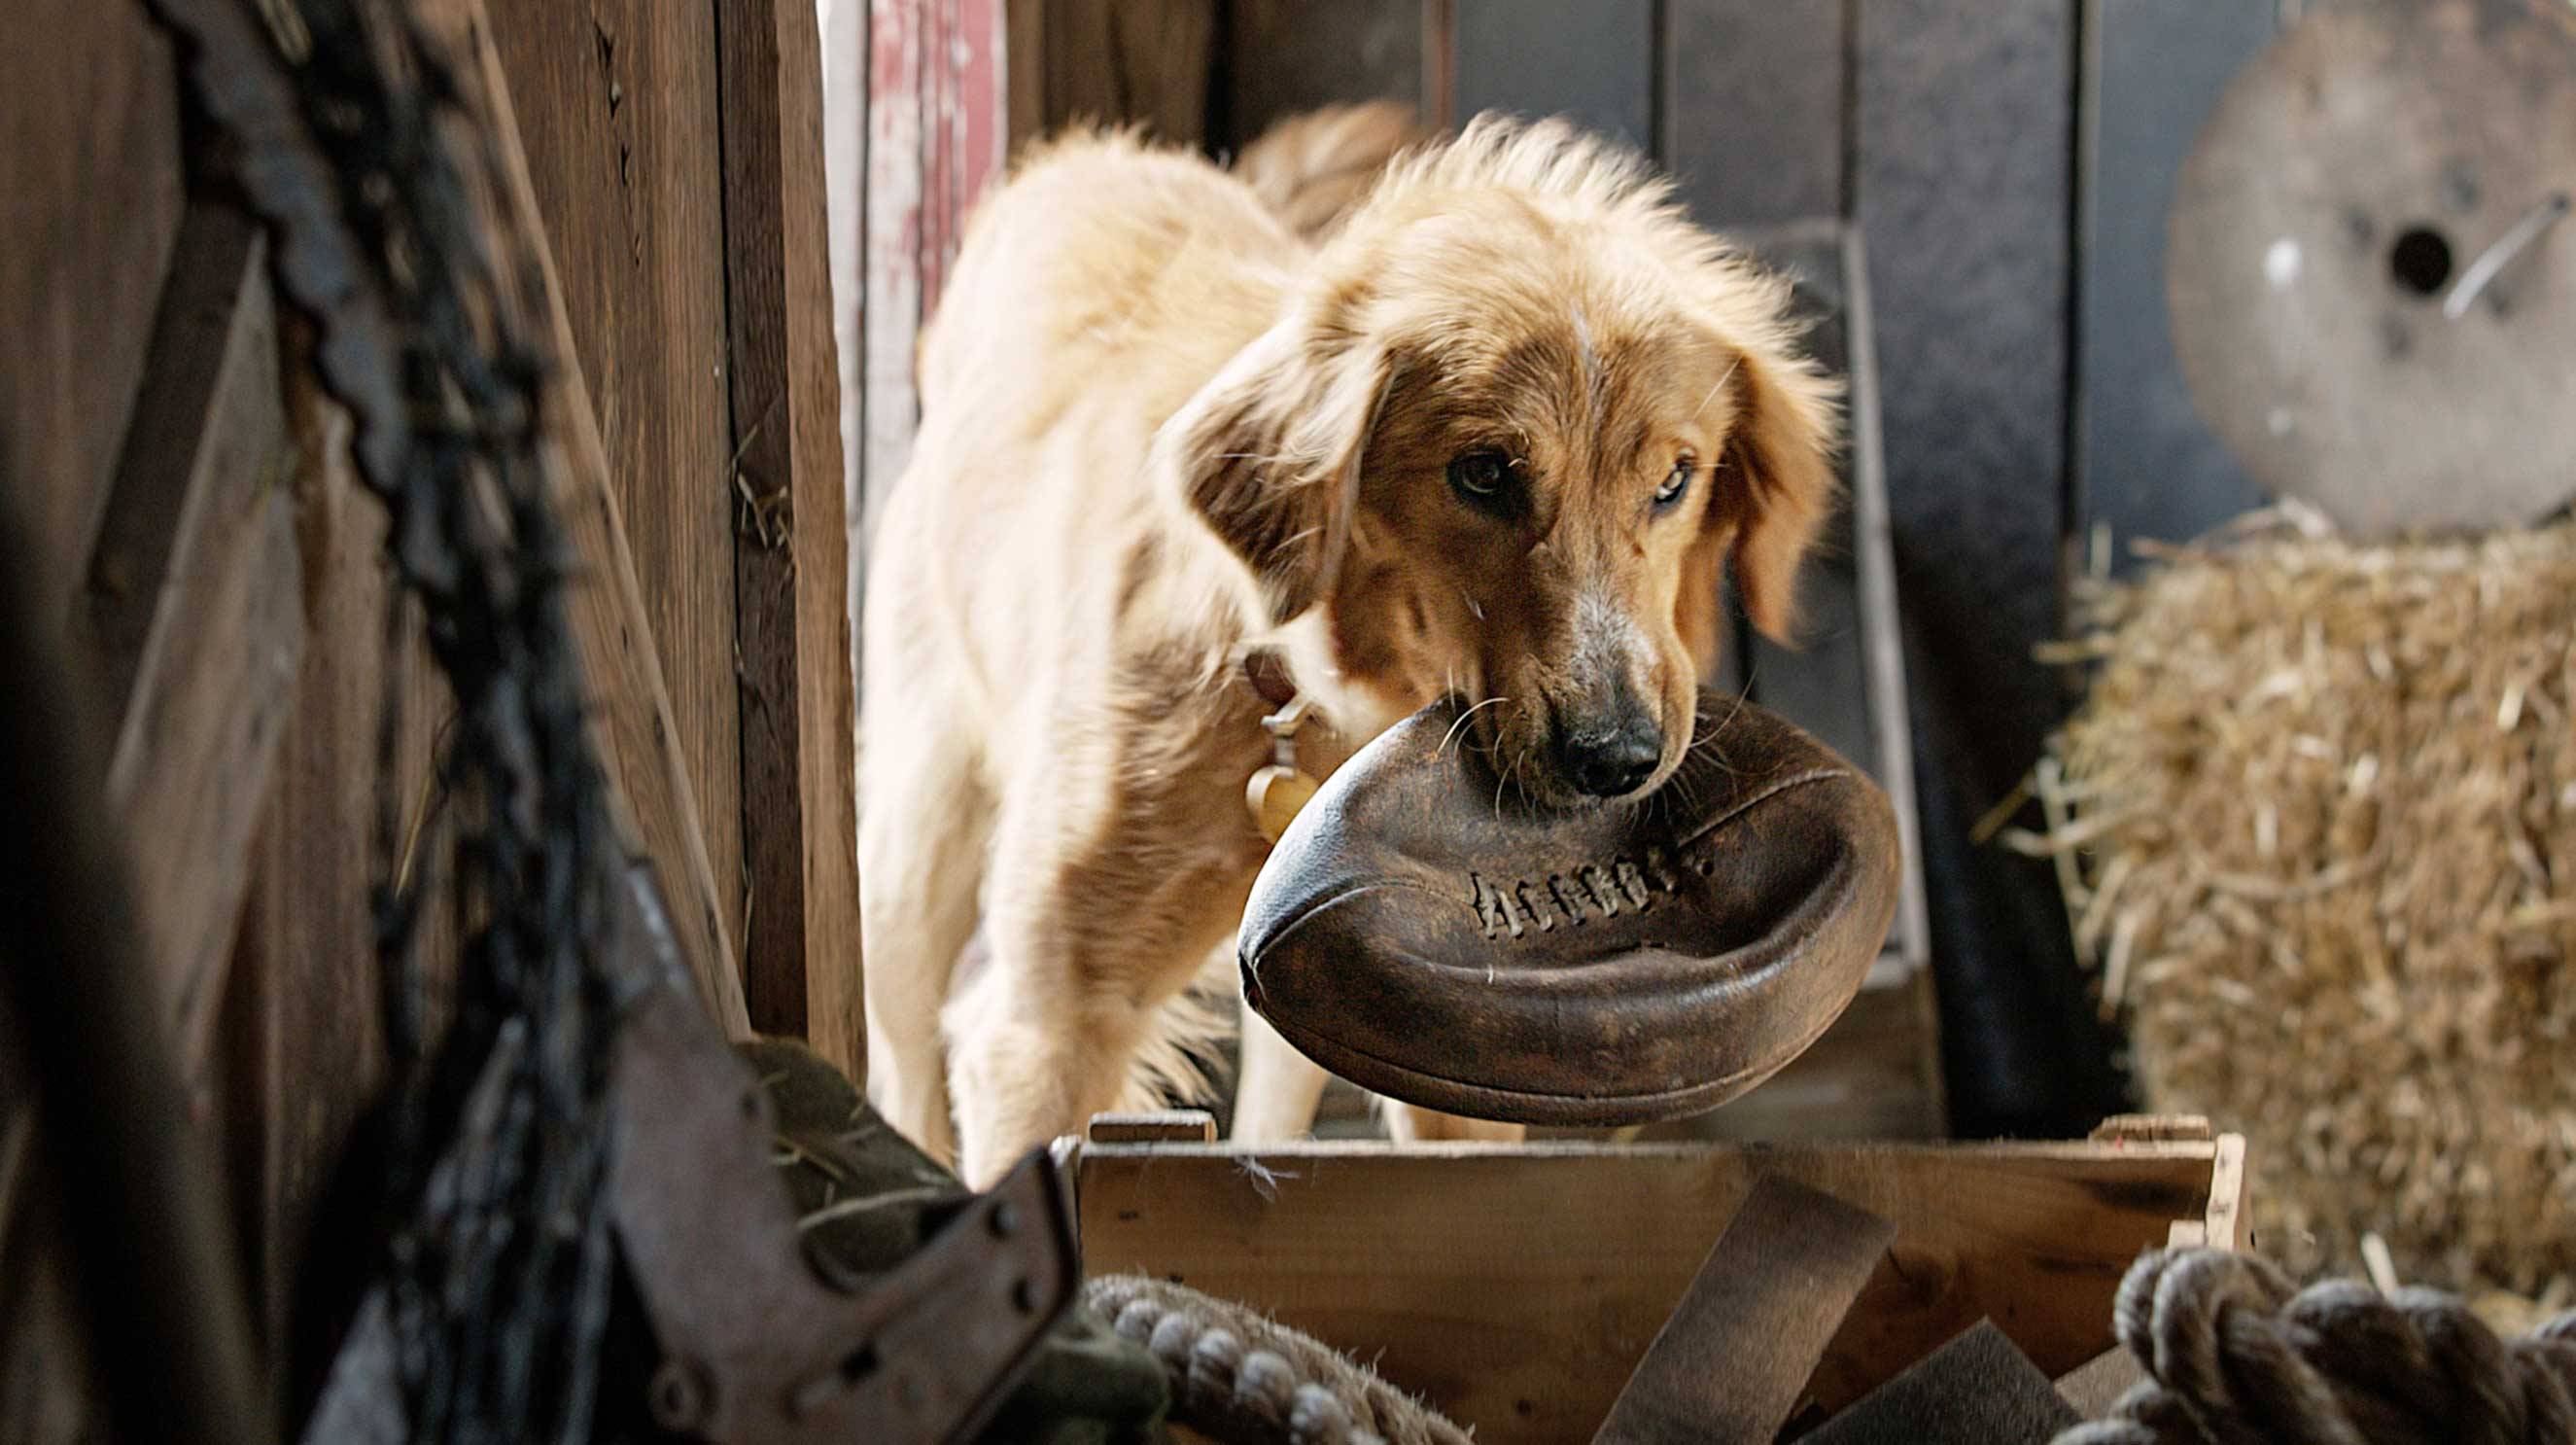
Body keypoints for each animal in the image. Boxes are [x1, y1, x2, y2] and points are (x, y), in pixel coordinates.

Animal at [860, 101, 1833, 1184]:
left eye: (1674, 480)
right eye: (1483, 472)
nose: (1617, 759)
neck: (1315, 700)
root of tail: (1080, 159)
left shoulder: (1446, 1030)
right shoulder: (1048, 1021)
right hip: (911, 860)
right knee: (900, 1063)